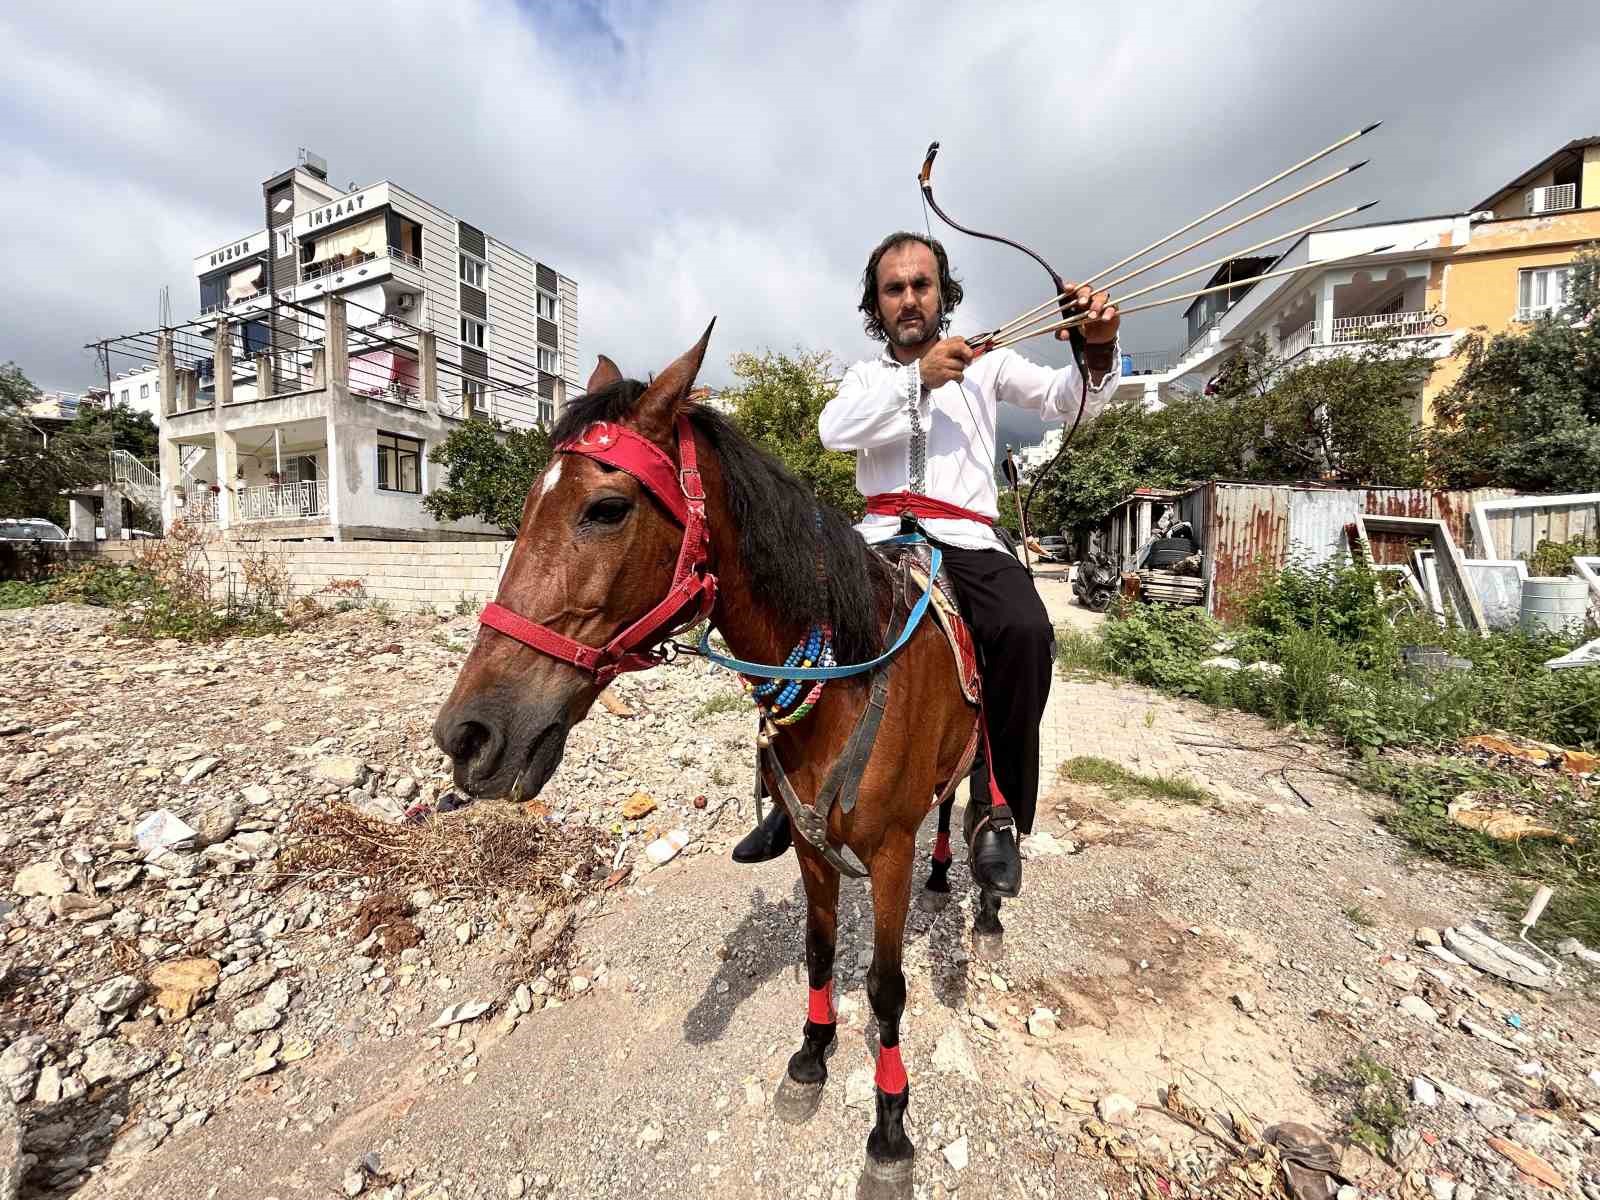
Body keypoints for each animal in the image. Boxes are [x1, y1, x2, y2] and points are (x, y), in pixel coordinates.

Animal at [438, 326, 998, 1196]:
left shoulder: (889, 856)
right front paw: (810, 1055)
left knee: (975, 794)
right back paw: (947, 872)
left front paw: (890, 1125)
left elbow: (886, 986)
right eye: (527, 506)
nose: (468, 737)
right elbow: (817, 951)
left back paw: (988, 879)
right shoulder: (809, 846)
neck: (848, 677)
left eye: (607, 508)